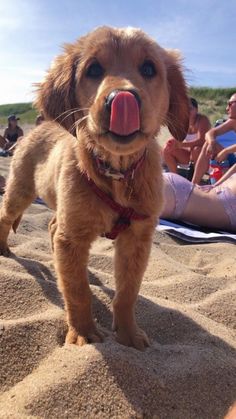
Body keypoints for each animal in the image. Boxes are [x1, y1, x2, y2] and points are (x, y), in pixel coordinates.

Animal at [0, 27, 189, 352]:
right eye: (93, 69)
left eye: (148, 69)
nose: (121, 98)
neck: (116, 171)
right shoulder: (73, 236)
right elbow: (77, 291)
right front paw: (84, 333)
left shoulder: (137, 238)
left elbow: (127, 292)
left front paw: (128, 335)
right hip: (21, 190)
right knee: (5, 215)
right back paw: (3, 248)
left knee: (51, 226)